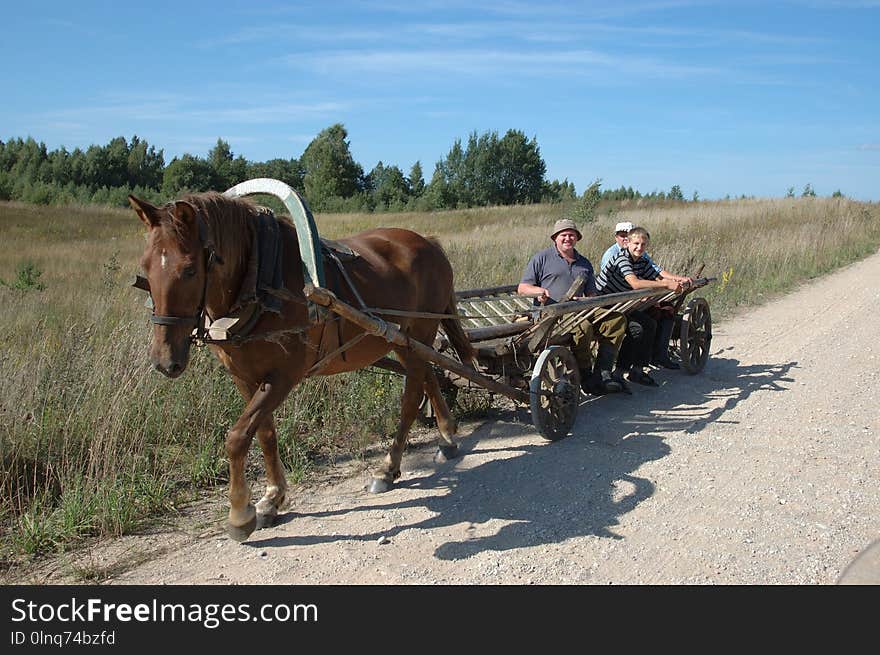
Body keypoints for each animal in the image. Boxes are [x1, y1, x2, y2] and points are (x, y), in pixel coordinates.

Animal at [128, 190, 478, 544]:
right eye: (145, 267)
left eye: (189, 270)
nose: (164, 360)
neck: (260, 280)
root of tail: (428, 242)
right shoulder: (244, 377)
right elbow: (264, 433)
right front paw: (271, 499)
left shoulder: (284, 376)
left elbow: (237, 437)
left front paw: (240, 513)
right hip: (404, 341)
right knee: (429, 376)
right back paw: (446, 438)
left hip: (417, 333)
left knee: (411, 397)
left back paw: (389, 467)